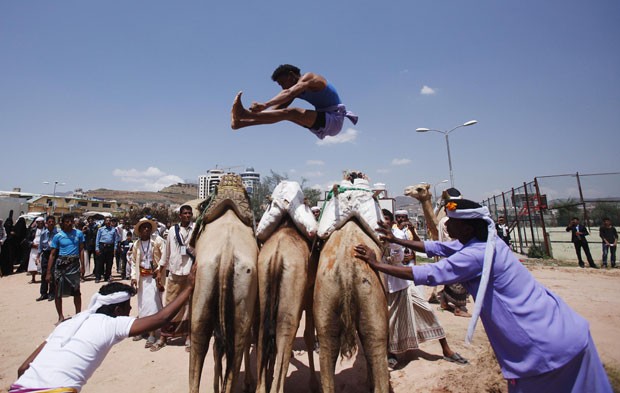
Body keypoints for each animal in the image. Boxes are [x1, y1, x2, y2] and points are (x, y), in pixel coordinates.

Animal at [254, 216, 320, 392]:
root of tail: (277, 255)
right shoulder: (309, 294)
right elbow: (308, 336)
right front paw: (314, 384)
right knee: (285, 333)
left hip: (263, 280)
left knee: (264, 333)